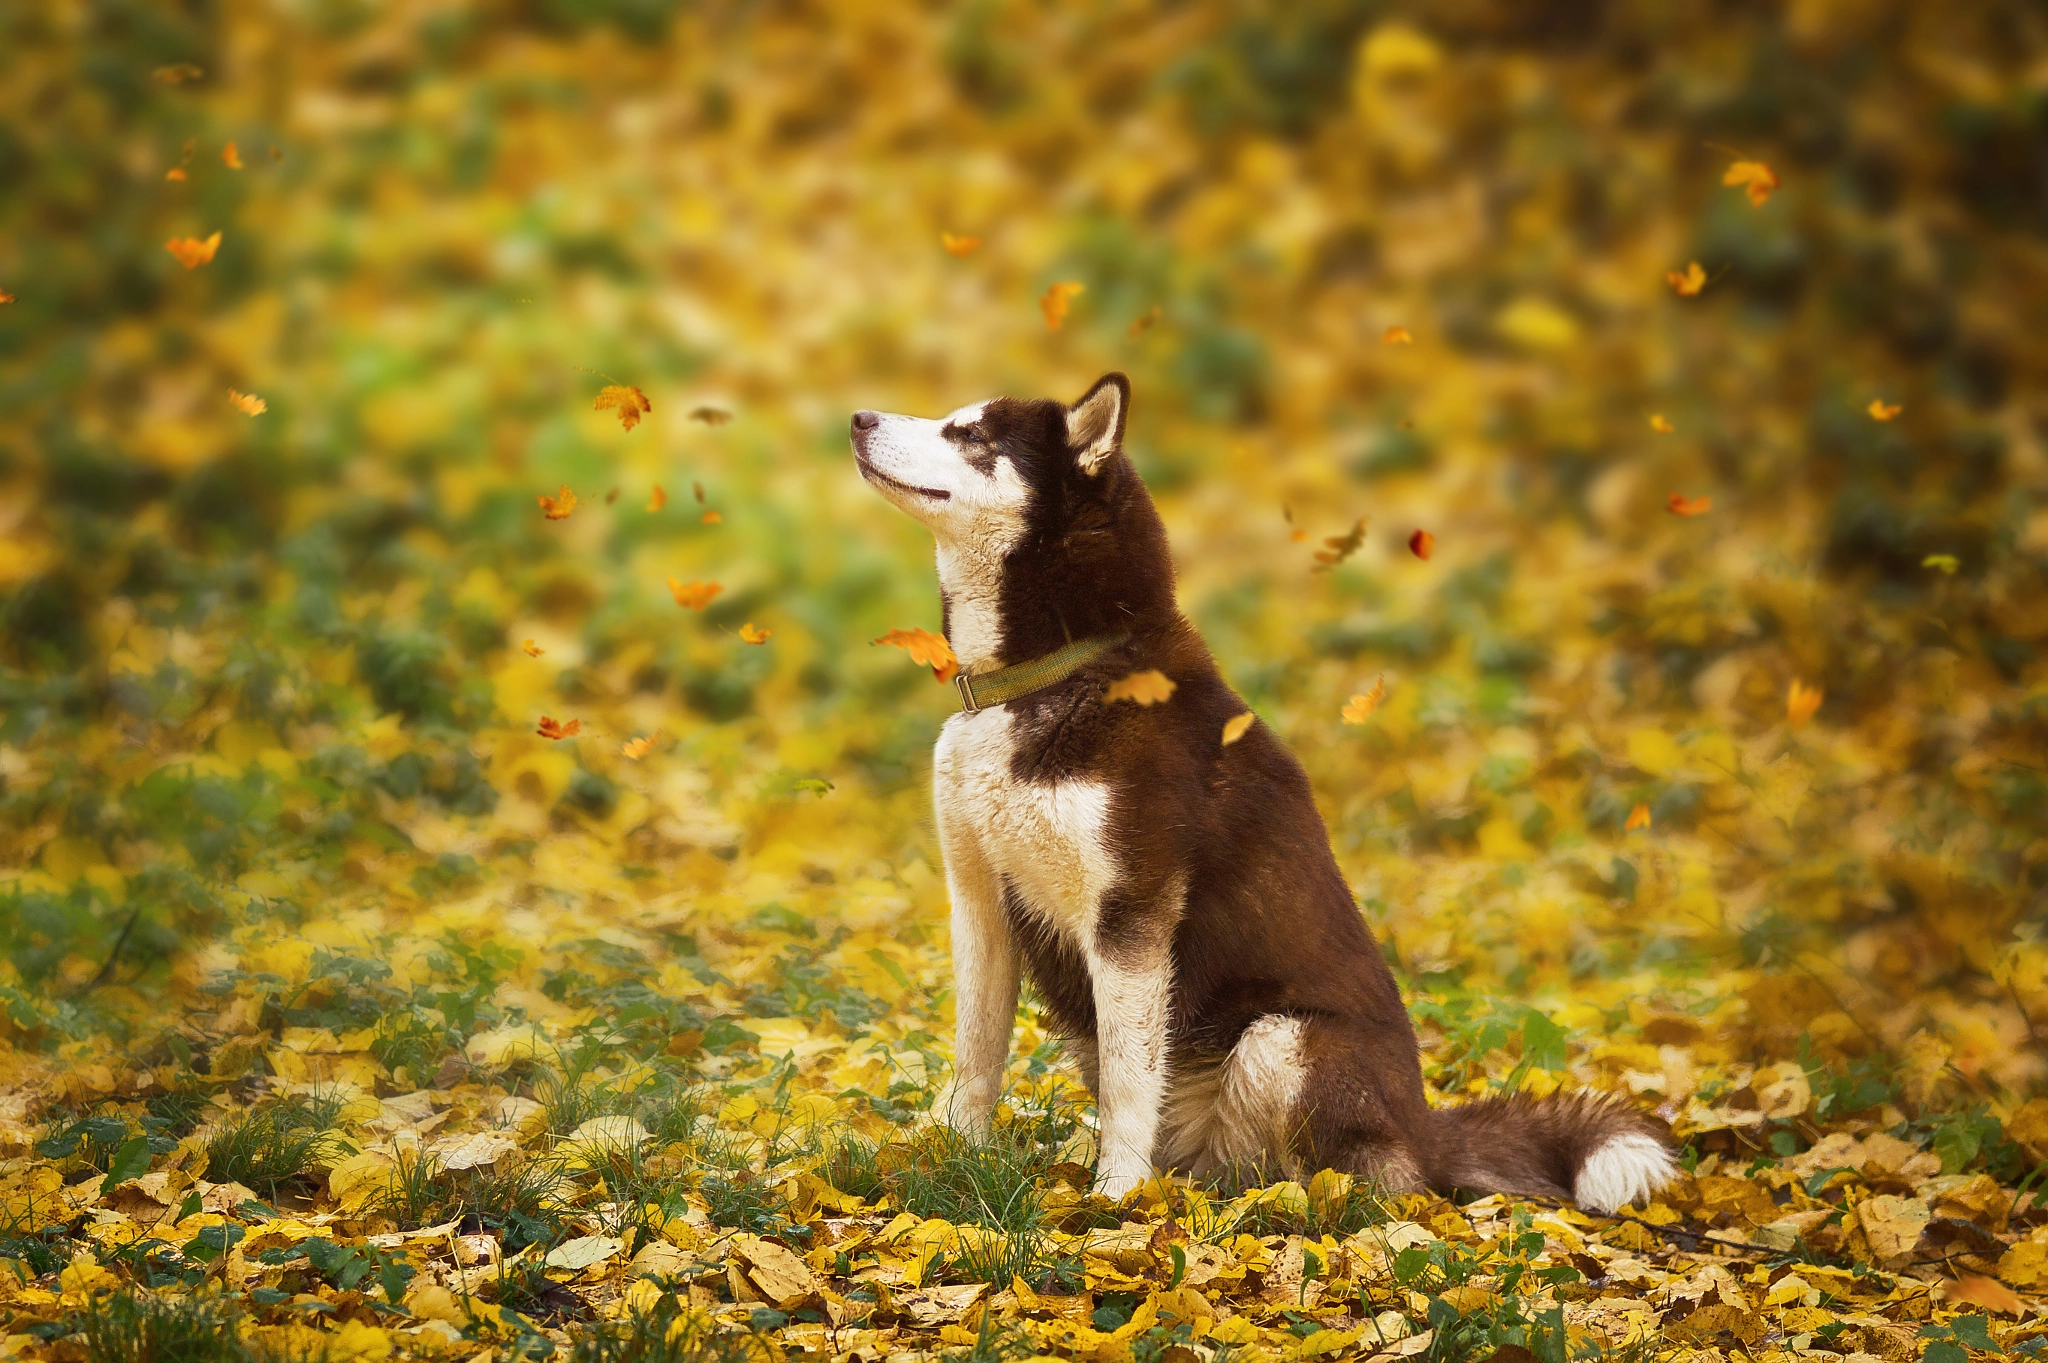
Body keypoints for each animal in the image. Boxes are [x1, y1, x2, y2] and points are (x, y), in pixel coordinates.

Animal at [856, 374, 1671, 1211]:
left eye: (972, 435)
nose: (858, 417)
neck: (1049, 674)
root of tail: (1426, 1131)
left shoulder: (1132, 917)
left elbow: (1127, 1082)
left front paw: (1115, 1199)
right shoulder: (980, 900)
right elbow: (976, 1054)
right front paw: (952, 1155)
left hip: (1283, 1038)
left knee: (1356, 1177)